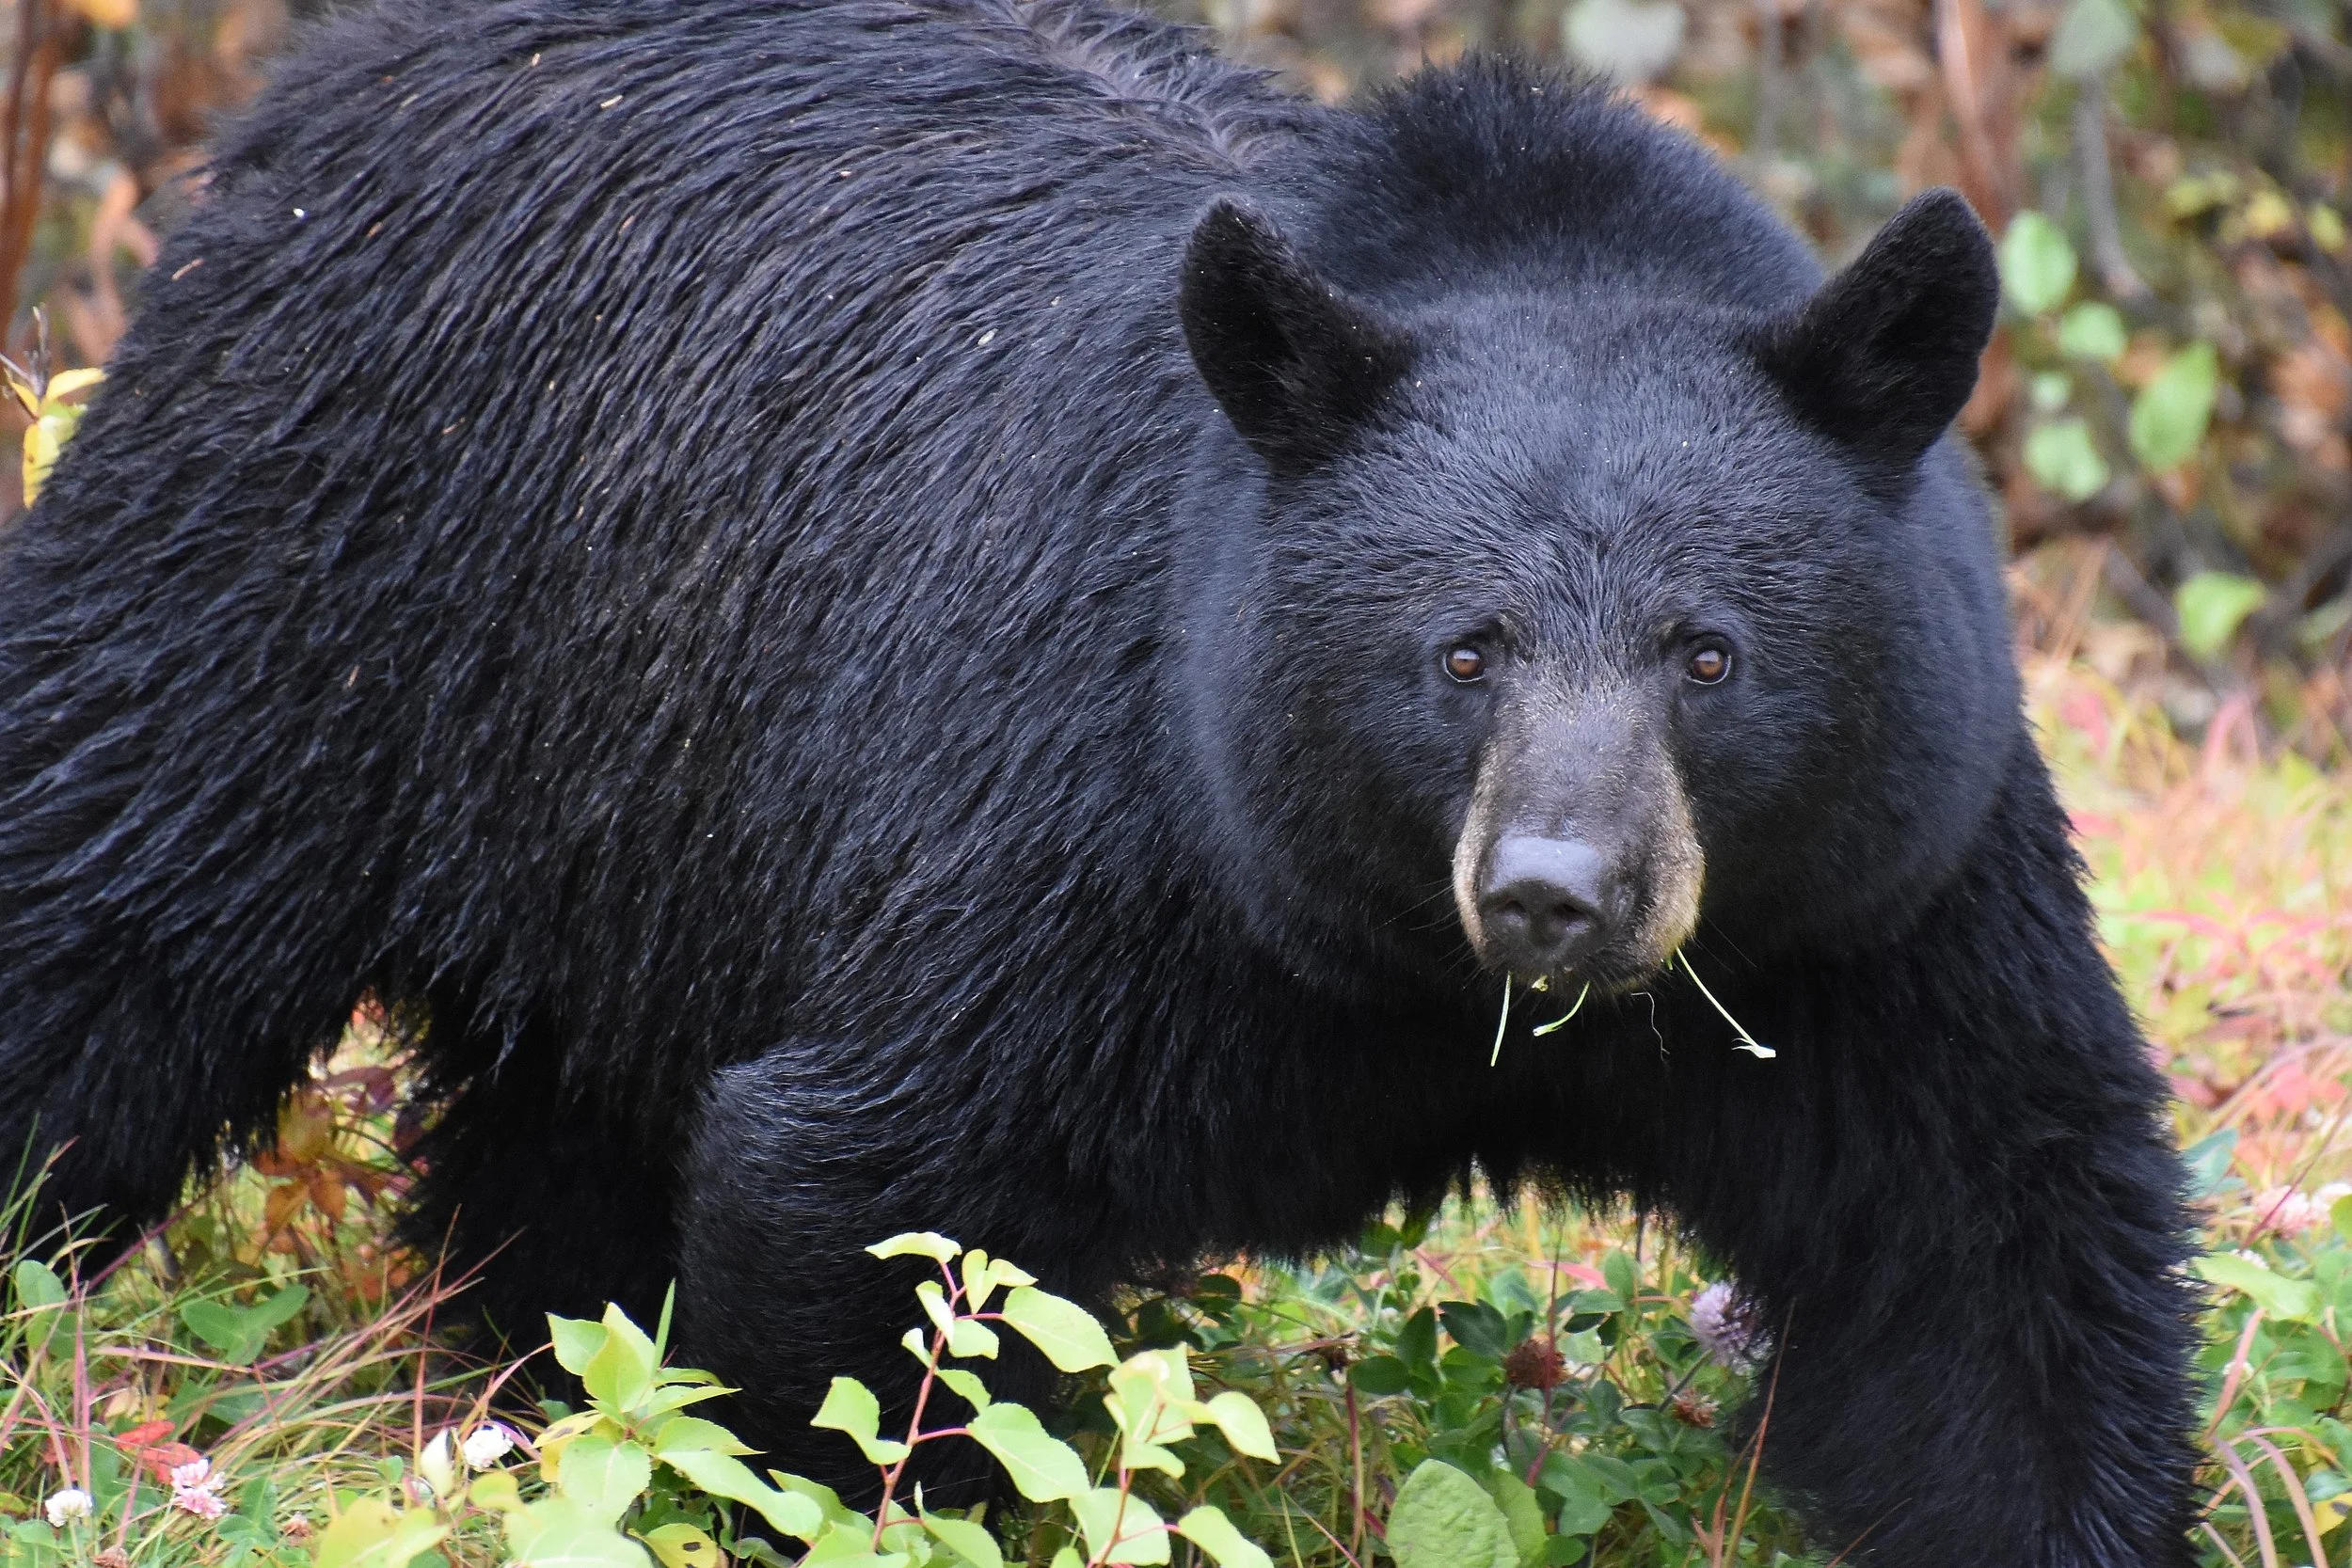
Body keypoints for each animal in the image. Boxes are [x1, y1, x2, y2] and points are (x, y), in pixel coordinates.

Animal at [0, 0, 2198, 1560]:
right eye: (1461, 649)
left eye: (1708, 653)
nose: (1559, 893)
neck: (1416, 972)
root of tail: (327, 71)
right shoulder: (1105, 827)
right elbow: (880, 1209)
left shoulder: (1874, 898)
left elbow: (1989, 1245)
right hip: (306, 554)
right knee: (107, 894)